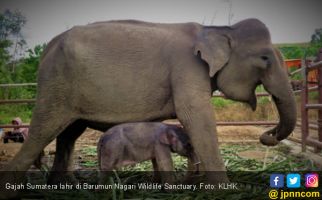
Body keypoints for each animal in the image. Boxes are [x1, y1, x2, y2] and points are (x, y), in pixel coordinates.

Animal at [0, 18, 296, 197]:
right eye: (265, 58)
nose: (267, 135)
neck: (218, 28)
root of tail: (47, 47)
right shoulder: (187, 70)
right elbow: (196, 118)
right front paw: (225, 191)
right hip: (55, 87)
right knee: (42, 133)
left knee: (68, 134)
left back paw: (67, 187)